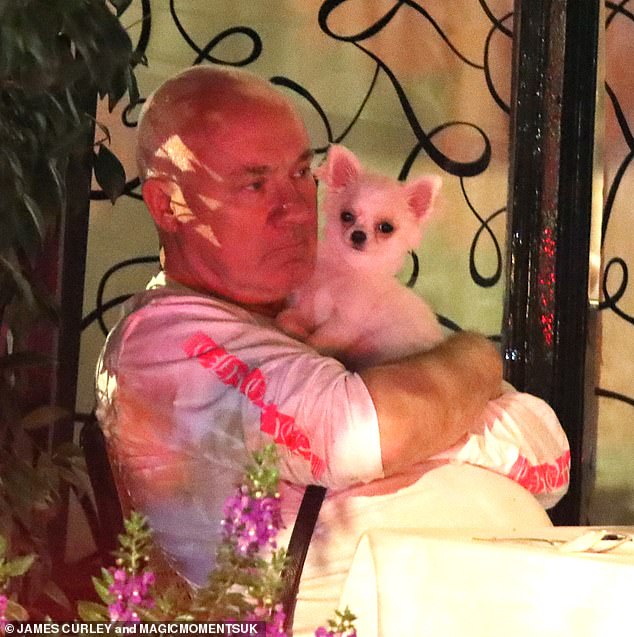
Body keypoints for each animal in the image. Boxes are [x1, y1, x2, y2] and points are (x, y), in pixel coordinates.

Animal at [276, 145, 444, 368]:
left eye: (386, 228)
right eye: (346, 216)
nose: (358, 235)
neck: (348, 268)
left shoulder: (344, 324)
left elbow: (318, 342)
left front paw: (310, 342)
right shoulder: (308, 306)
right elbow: (287, 318)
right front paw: (295, 327)